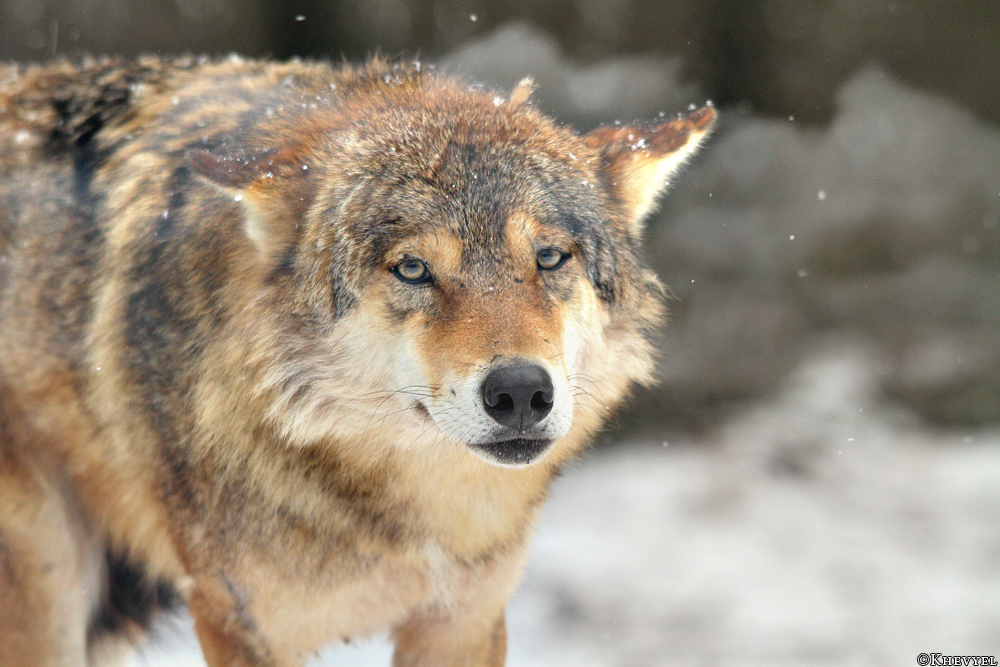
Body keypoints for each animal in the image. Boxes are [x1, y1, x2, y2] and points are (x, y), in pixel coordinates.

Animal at [0, 56, 714, 666]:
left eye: (549, 257)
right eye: (413, 269)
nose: (518, 392)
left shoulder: (465, 621)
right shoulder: (239, 620)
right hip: (48, 594)